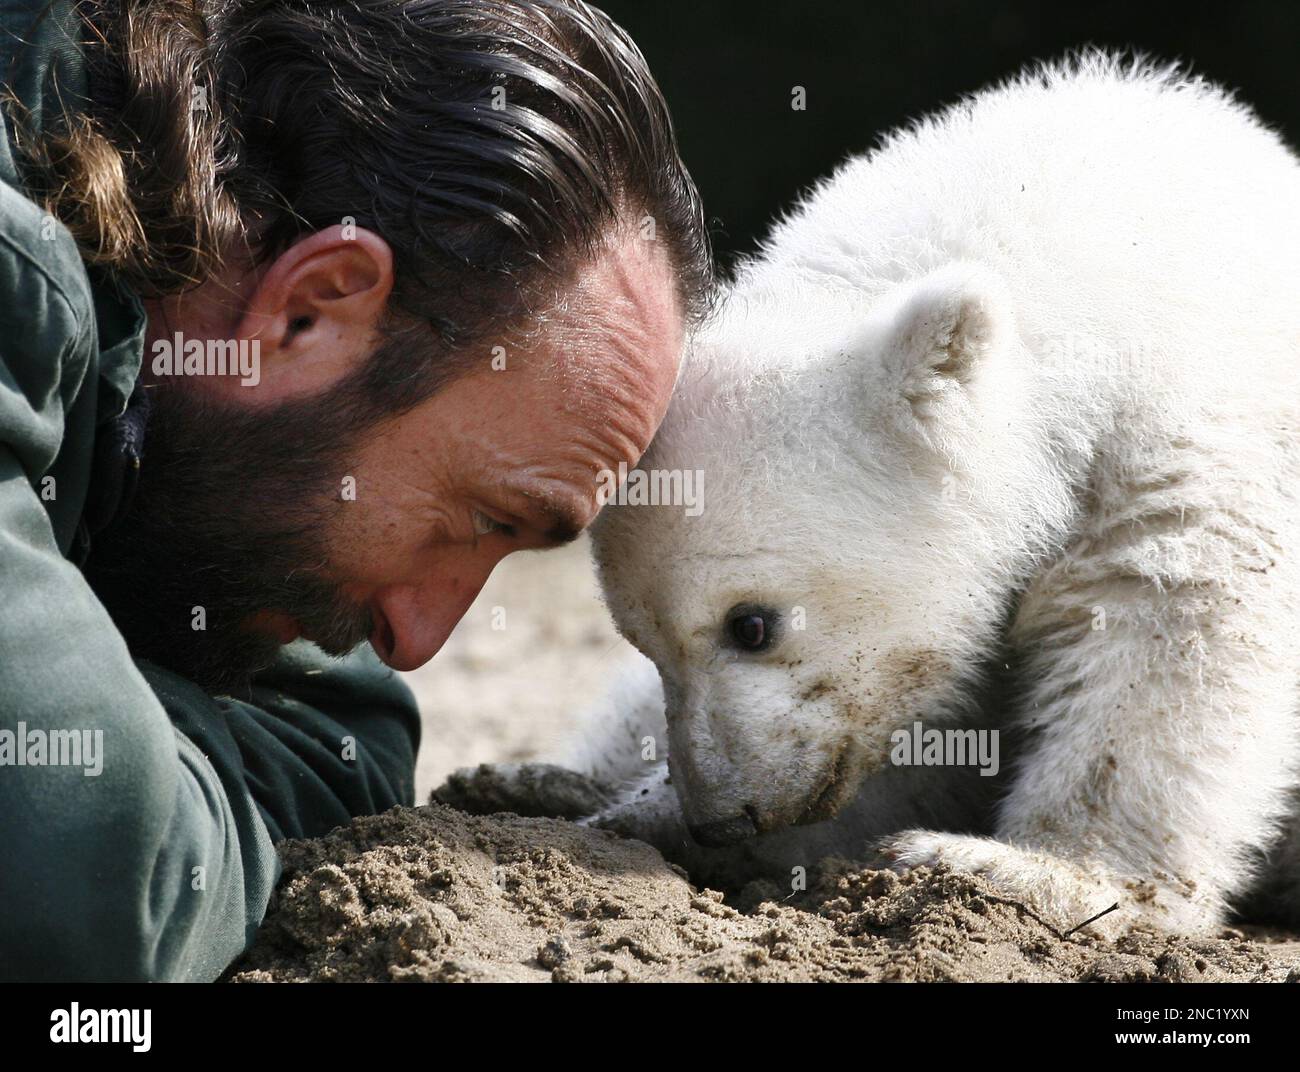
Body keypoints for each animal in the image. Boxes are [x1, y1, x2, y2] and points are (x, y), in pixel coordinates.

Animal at [438, 53, 1300, 936]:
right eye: (641, 637)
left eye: (751, 625)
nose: (724, 816)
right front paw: (639, 818)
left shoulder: (1183, 449)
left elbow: (1172, 631)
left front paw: (1031, 869)